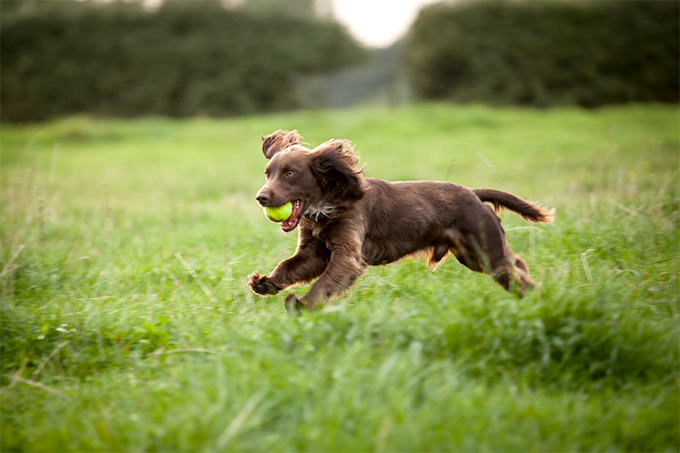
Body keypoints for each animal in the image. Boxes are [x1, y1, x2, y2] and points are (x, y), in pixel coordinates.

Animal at [247, 131, 556, 310]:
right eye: (268, 173)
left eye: (290, 173)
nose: (261, 197)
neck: (329, 205)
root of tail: (473, 194)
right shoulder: (314, 251)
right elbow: (289, 266)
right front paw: (267, 283)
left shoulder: (348, 256)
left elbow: (324, 283)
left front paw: (301, 304)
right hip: (473, 256)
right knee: (517, 264)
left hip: (486, 252)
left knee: (515, 271)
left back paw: (539, 299)